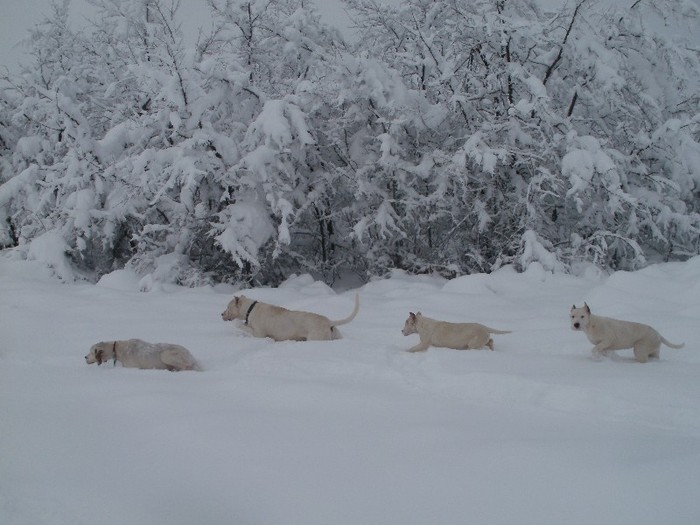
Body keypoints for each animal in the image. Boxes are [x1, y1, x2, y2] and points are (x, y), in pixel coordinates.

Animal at [220, 290, 360, 340]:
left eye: (228, 307)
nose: (221, 314)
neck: (250, 308)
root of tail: (329, 321)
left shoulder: (259, 334)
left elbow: (243, 326)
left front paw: (237, 324)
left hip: (316, 338)